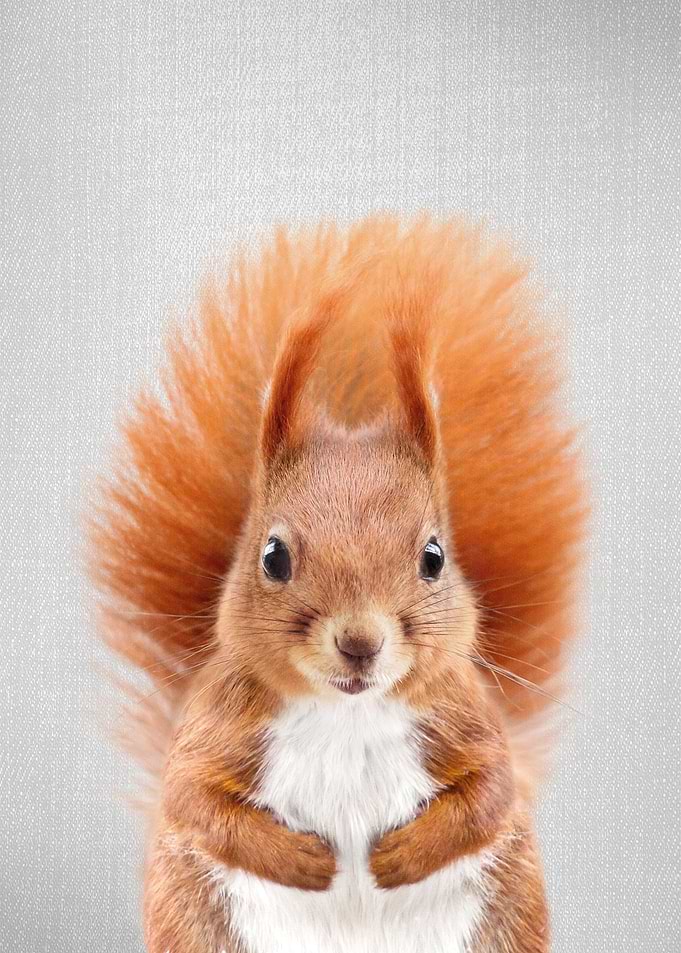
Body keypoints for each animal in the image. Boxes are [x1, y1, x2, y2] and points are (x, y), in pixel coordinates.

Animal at [87, 215, 588, 953]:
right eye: (272, 556)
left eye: (434, 557)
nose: (359, 642)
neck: (347, 714)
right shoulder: (219, 724)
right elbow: (193, 796)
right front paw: (306, 860)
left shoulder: (465, 718)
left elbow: (493, 792)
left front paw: (395, 857)